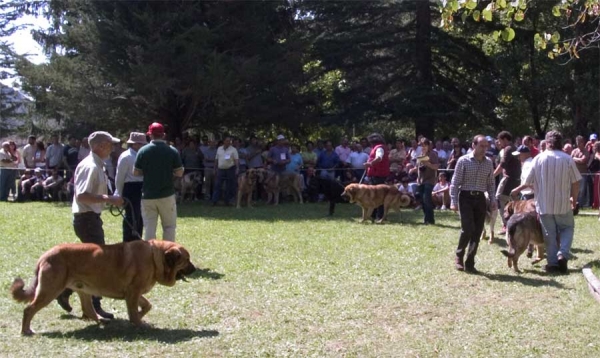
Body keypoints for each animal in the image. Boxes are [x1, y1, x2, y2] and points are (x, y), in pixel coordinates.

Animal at [9, 239, 195, 334]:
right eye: (186, 260)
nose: (194, 269)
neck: (155, 256)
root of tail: (44, 256)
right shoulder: (133, 292)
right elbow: (135, 311)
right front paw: (138, 323)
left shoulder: (133, 293)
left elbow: (147, 306)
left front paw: (140, 317)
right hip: (49, 290)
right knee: (28, 310)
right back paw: (26, 330)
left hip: (83, 289)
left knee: (88, 309)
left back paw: (102, 320)